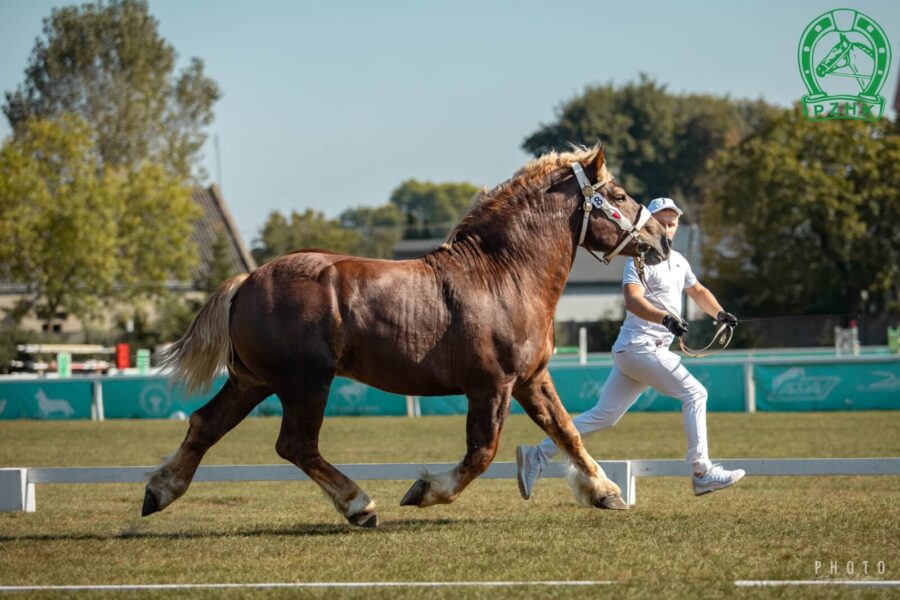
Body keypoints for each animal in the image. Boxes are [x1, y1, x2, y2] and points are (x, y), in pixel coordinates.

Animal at [146, 146, 668, 524]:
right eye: (619, 194)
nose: (661, 240)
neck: (504, 276)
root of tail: (247, 281)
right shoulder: (491, 386)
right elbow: (481, 453)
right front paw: (425, 489)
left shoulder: (531, 380)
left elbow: (567, 432)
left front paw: (605, 492)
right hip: (304, 383)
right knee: (295, 445)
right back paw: (360, 506)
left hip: (253, 380)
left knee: (205, 424)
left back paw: (159, 491)